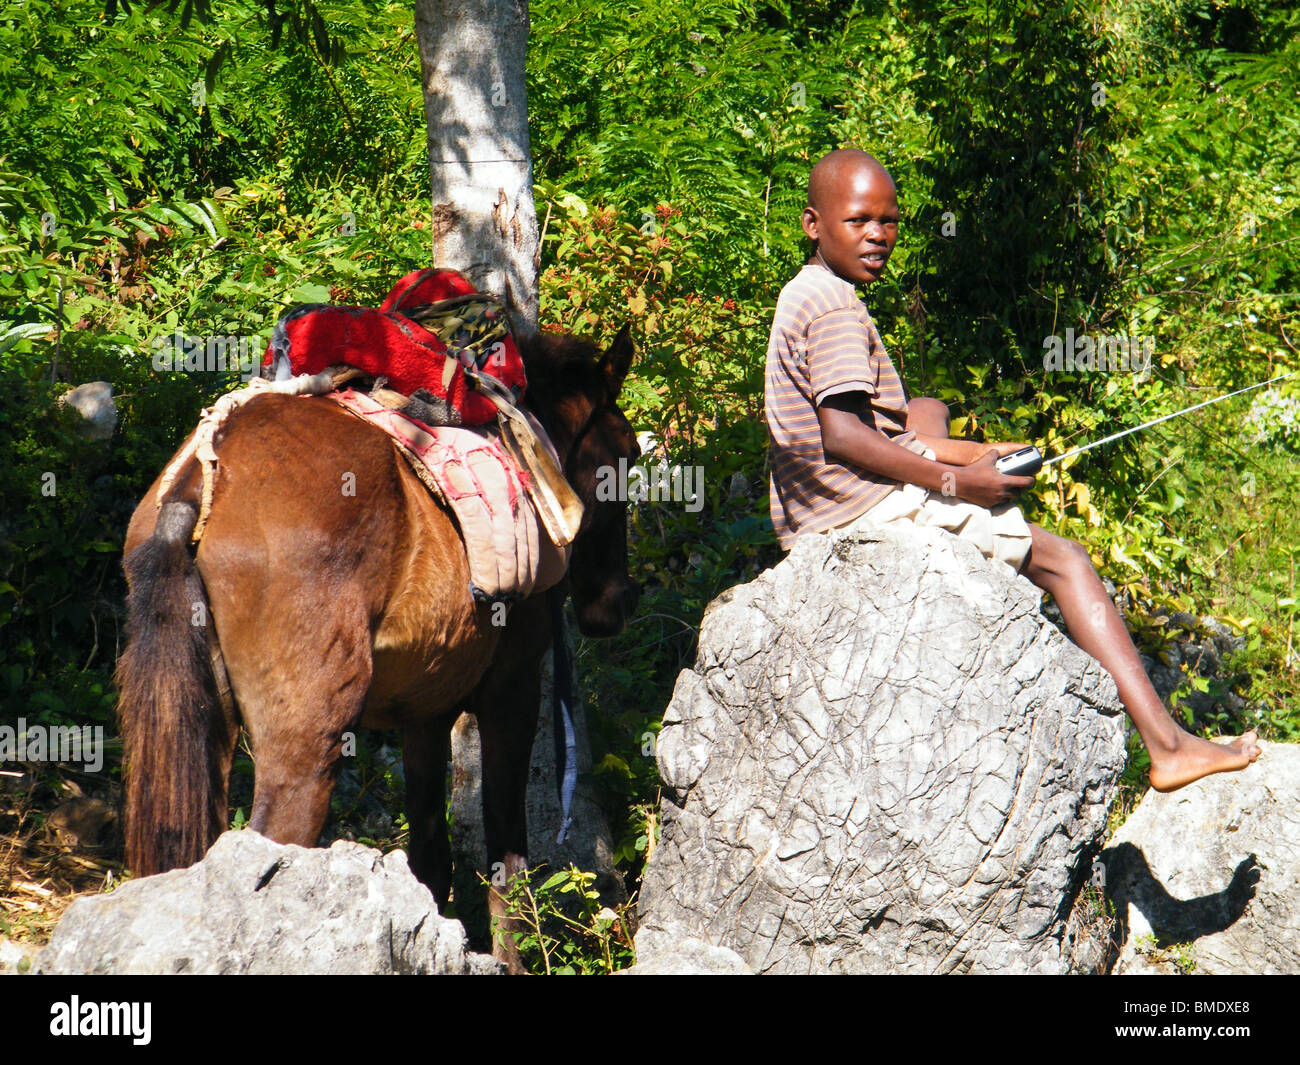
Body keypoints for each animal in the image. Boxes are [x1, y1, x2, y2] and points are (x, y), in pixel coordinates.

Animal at [115, 325, 639, 967]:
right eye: (626, 455)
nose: (616, 604)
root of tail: (199, 483)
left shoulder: (425, 712)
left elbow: (432, 857)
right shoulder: (509, 694)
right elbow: (505, 862)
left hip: (206, 733)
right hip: (306, 745)